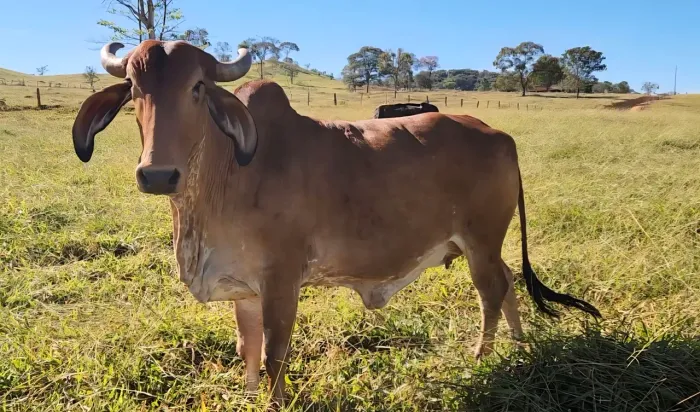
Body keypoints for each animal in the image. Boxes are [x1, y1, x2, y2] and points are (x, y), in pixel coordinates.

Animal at [71, 40, 601, 408]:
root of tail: (499, 134)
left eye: (197, 87)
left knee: (491, 293)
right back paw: (518, 343)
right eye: (134, 90)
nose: (157, 174)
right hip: (487, 246)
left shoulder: (281, 281)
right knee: (509, 282)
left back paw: (482, 358)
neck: (225, 176)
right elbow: (247, 347)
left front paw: (275, 402)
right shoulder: (243, 287)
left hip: (479, 241)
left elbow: (274, 351)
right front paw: (248, 396)